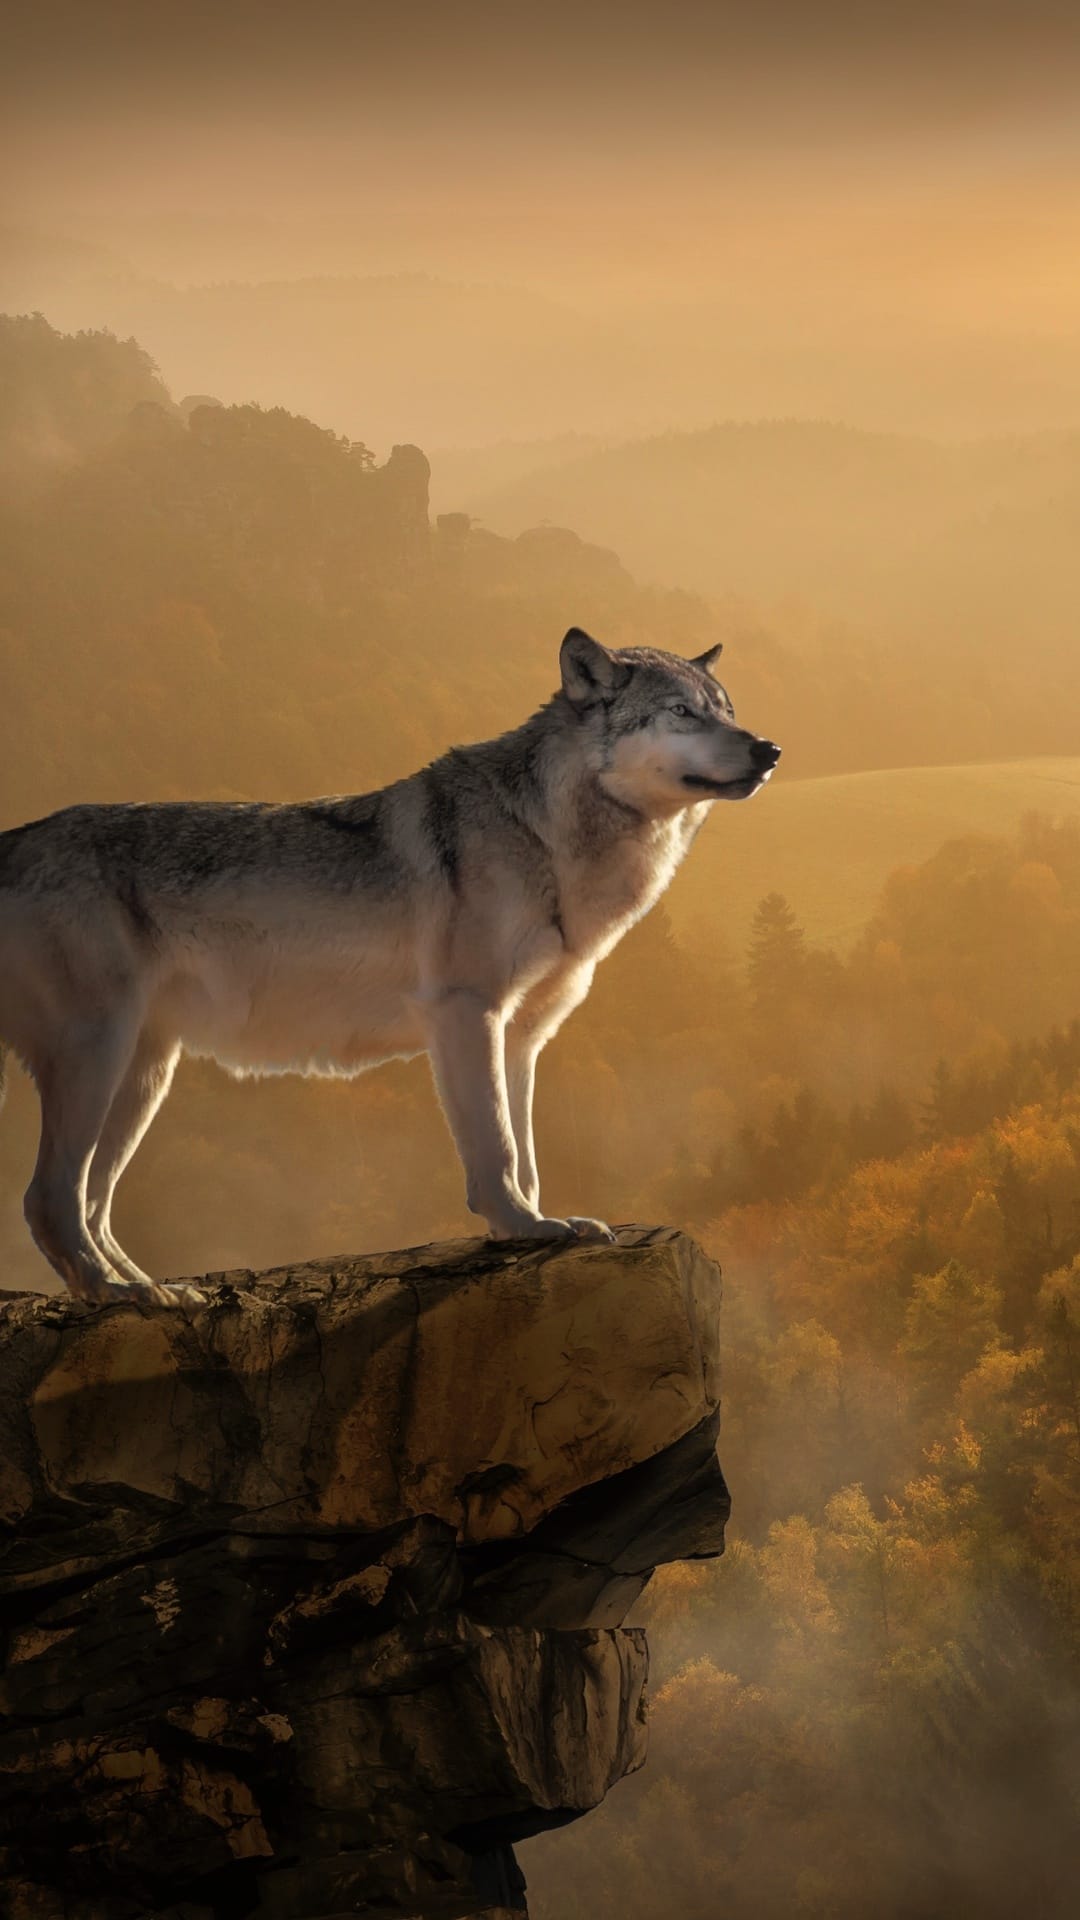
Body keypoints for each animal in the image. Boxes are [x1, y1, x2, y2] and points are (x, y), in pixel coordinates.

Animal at [0, 629, 779, 1305]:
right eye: (681, 712)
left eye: (727, 710)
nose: (770, 749)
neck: (547, 836)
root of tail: (13, 840)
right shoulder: (467, 1014)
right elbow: (496, 1148)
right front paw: (522, 1227)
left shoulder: (522, 1038)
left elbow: (527, 1154)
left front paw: (540, 1223)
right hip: (99, 1056)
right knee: (49, 1198)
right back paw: (118, 1295)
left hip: (144, 1076)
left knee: (92, 1204)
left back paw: (151, 1291)